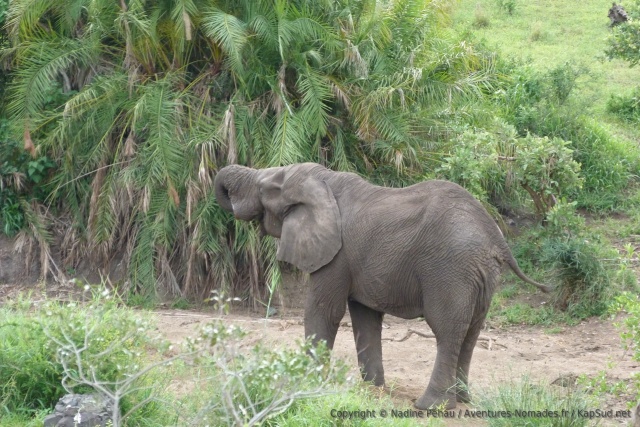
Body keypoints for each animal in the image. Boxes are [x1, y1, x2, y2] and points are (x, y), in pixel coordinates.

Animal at [214, 162, 550, 410]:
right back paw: (463, 401)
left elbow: (324, 311)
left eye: (266, 189)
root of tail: (497, 238)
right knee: (471, 332)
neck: (324, 180)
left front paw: (304, 383)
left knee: (447, 330)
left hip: (451, 270)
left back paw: (431, 407)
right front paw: (372, 389)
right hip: (482, 275)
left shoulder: (336, 255)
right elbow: (365, 317)